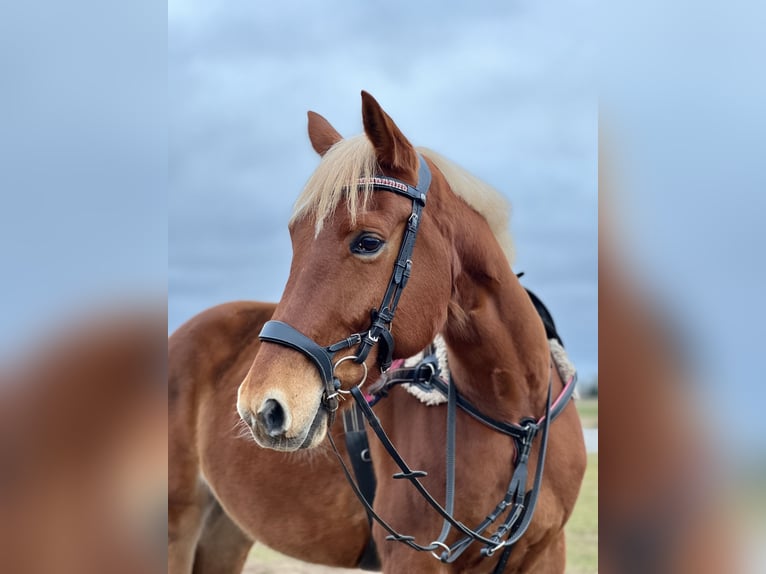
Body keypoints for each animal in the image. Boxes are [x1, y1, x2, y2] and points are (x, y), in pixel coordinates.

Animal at [170, 92, 588, 572]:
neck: (515, 415)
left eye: (367, 242)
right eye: (295, 239)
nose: (263, 408)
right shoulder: (411, 558)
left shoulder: (547, 553)